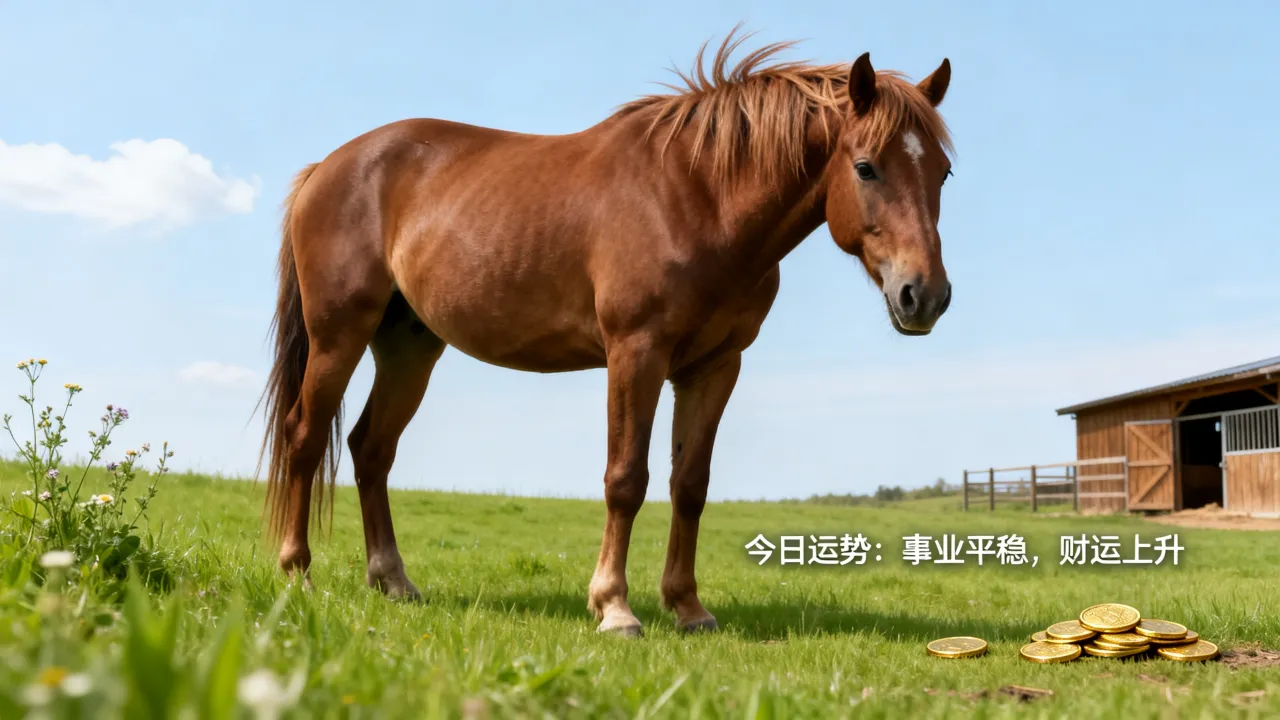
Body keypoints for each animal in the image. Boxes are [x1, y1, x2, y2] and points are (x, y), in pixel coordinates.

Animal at [257, 29, 956, 636]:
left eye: (943, 172)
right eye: (865, 168)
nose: (924, 296)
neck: (696, 196)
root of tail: (328, 167)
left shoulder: (715, 365)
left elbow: (689, 485)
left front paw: (688, 608)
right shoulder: (635, 353)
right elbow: (627, 479)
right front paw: (615, 608)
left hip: (410, 347)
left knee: (371, 448)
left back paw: (393, 580)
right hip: (338, 337)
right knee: (305, 436)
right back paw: (297, 574)